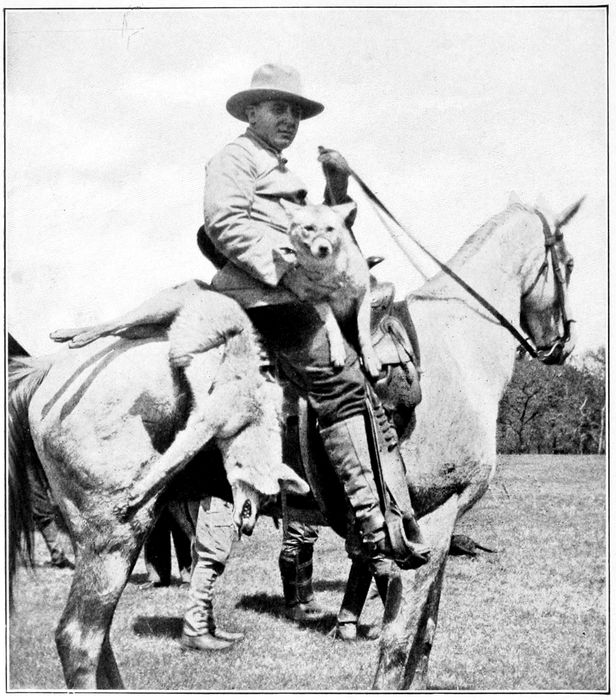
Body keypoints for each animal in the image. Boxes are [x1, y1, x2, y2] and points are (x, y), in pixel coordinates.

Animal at [281, 199, 381, 379]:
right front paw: (338, 351)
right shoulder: (318, 300)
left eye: (330, 229)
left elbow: (363, 333)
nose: (323, 248)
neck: (334, 273)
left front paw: (370, 358)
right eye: (309, 228)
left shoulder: (363, 296)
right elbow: (333, 325)